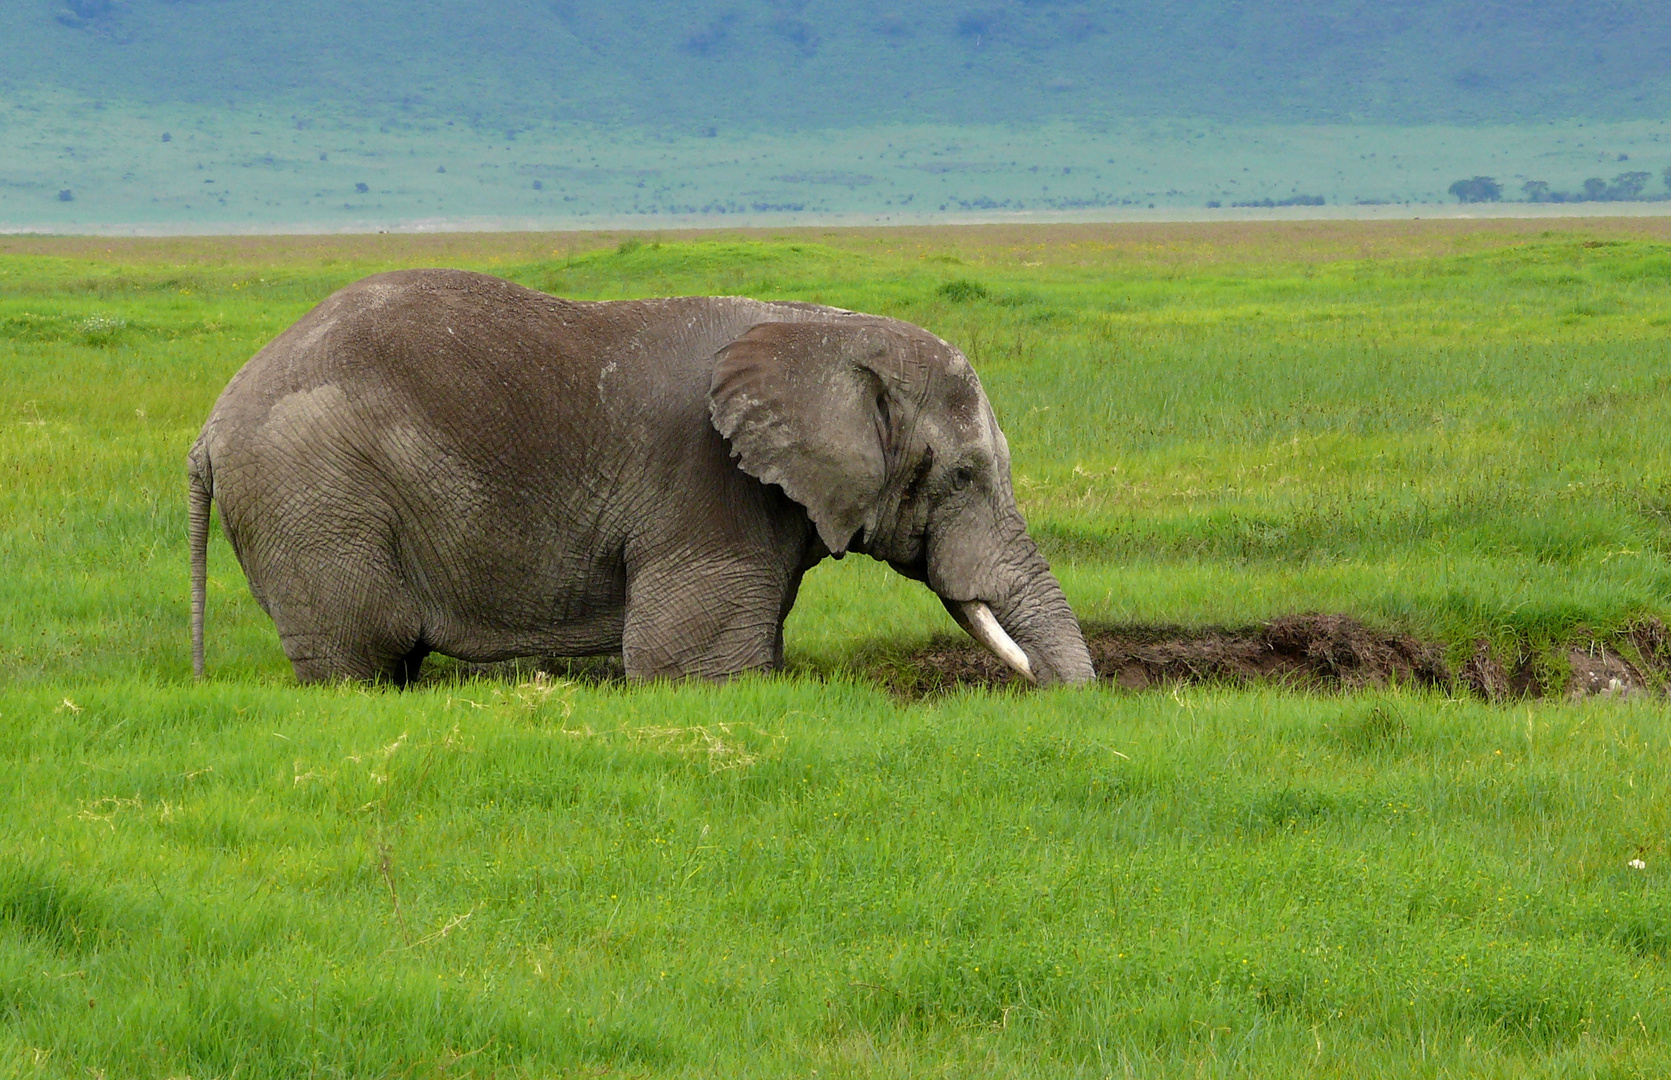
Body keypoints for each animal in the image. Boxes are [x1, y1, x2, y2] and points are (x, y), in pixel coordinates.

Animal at [189, 275, 1096, 688]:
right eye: (963, 475)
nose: (1066, 701)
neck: (821, 330)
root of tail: (208, 427)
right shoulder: (704, 484)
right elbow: (691, 663)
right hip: (314, 494)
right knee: (362, 652)